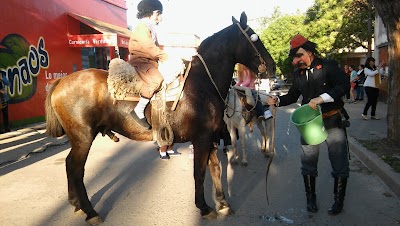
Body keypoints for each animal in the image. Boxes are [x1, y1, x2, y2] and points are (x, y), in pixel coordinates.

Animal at [44, 12, 276, 224]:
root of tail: (61, 81)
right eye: (254, 37)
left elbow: (216, 169)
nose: (273, 67)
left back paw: (76, 204)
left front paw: (222, 203)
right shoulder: (201, 139)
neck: (202, 83)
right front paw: (203, 207)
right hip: (83, 138)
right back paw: (90, 211)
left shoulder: (209, 138)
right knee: (75, 169)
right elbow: (200, 173)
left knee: (69, 165)